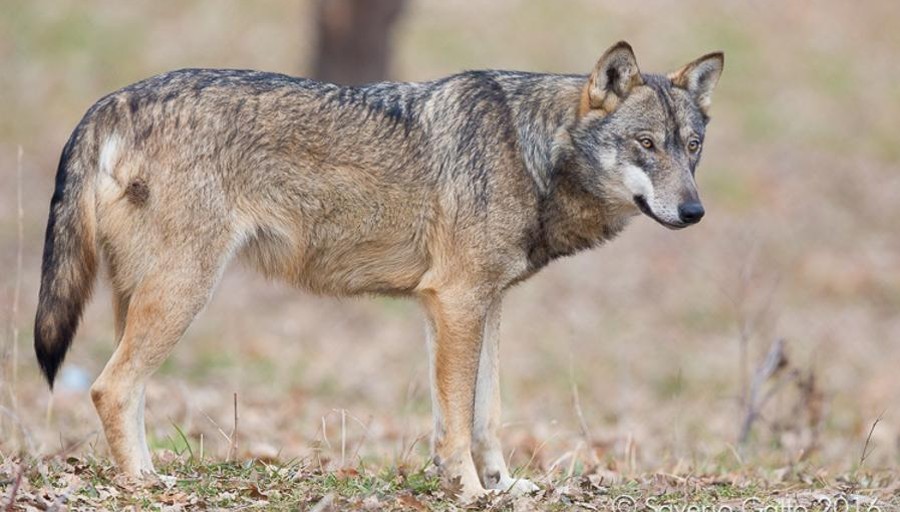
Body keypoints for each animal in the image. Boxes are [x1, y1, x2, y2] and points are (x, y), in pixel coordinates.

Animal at [34, 41, 722, 499]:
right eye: (645, 144)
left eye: (692, 148)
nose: (694, 212)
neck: (531, 153)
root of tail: (111, 101)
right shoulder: (457, 301)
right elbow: (458, 420)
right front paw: (469, 491)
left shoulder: (478, 305)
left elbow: (486, 414)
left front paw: (500, 486)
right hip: (183, 294)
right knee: (108, 387)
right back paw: (144, 487)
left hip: (146, 300)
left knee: (126, 390)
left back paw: (151, 474)